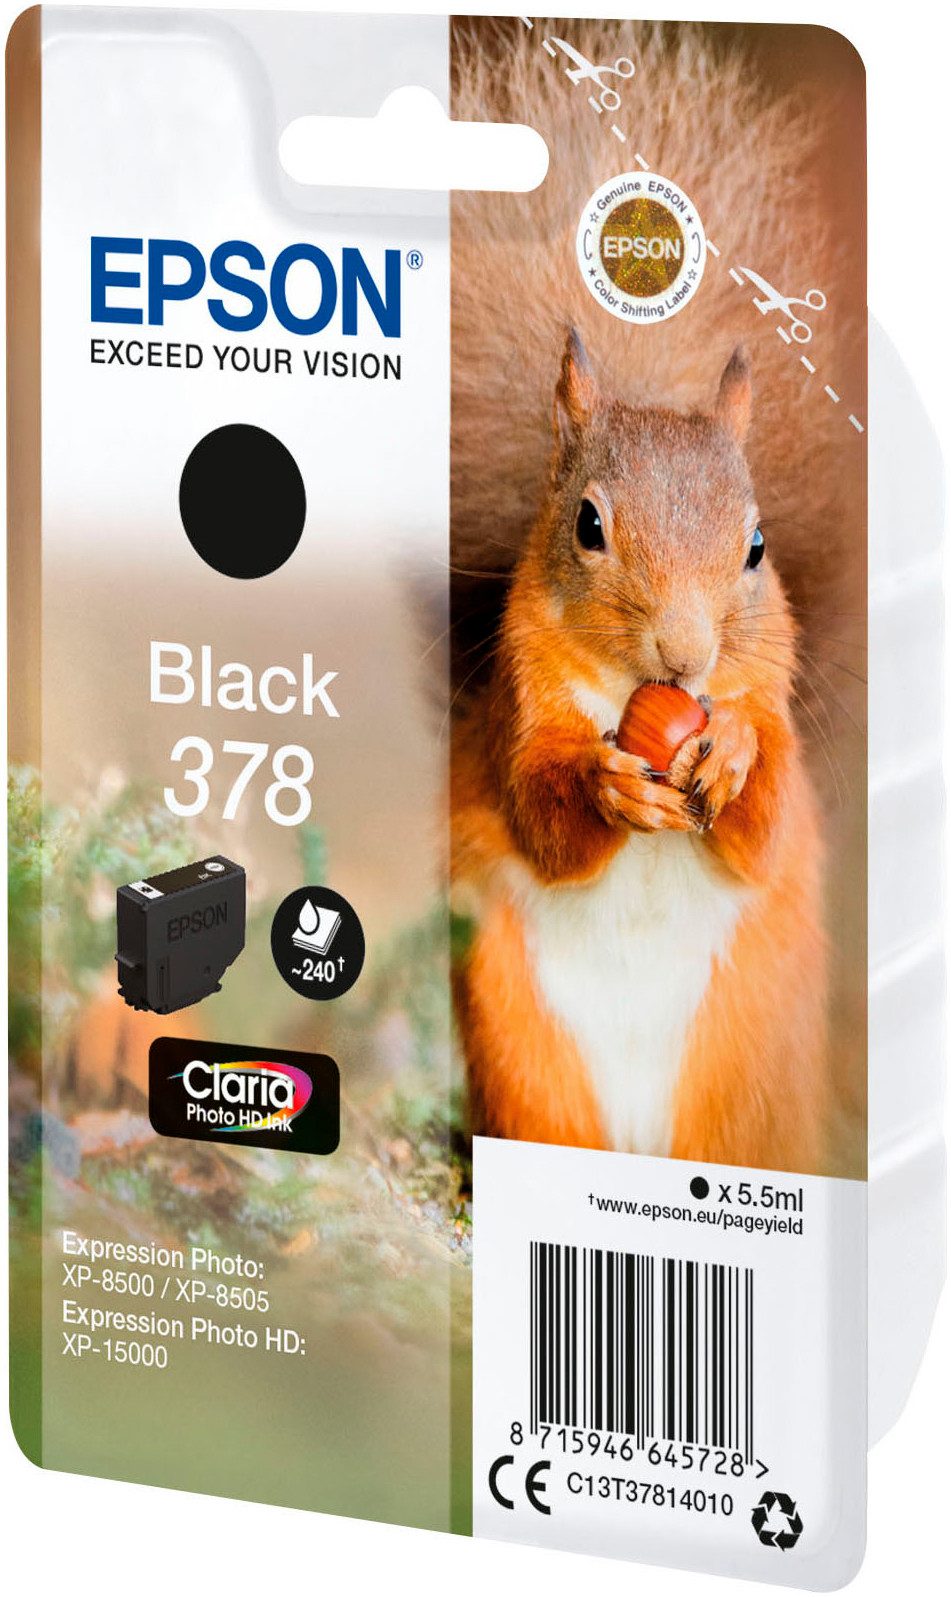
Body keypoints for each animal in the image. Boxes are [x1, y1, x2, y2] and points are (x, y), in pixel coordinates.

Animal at [448, 19, 865, 1173]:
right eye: (588, 525)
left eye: (757, 547)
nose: (684, 657)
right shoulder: (518, 707)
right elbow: (540, 813)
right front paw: (605, 787)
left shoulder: (771, 696)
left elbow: (764, 820)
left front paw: (729, 754)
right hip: (522, 1046)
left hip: (745, 1071)